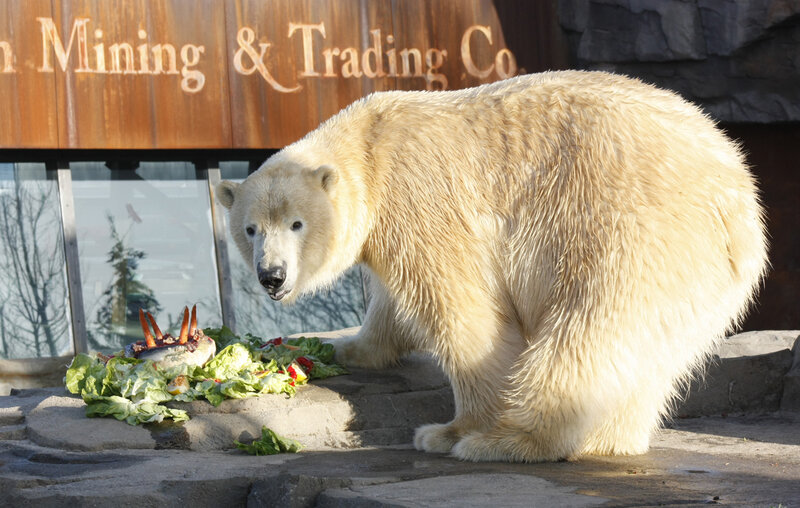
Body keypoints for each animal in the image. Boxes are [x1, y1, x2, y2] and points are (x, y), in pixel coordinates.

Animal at [215, 70, 768, 462]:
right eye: (250, 229)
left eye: (297, 224)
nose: (272, 277)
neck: (368, 147)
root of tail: (736, 195)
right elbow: (394, 303)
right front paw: (351, 347)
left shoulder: (421, 199)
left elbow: (462, 310)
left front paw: (451, 430)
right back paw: (608, 439)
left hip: (625, 227)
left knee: (589, 331)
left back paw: (512, 441)